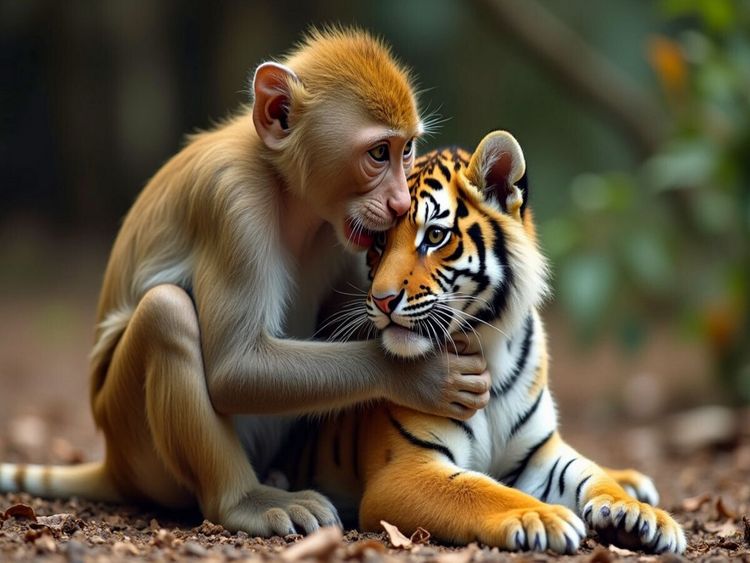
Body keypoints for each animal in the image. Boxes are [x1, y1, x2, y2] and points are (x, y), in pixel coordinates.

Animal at [281, 130, 686, 554]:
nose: (382, 299)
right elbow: (482, 491)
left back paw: (633, 483)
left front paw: (640, 515)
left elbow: (591, 474)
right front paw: (543, 516)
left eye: (435, 235)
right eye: (377, 243)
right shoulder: (405, 471)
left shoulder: (541, 453)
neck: (489, 350)